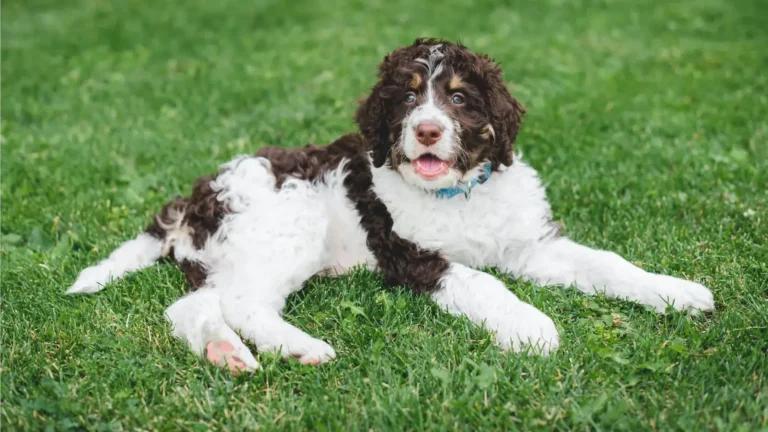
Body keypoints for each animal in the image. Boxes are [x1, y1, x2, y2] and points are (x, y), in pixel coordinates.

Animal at [66, 38, 712, 372]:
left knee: (192, 306)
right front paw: (533, 328)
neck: (457, 194)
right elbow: (485, 283)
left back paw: (226, 353)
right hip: (286, 223)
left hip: (232, 253)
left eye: (459, 98)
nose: (426, 130)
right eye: (406, 96)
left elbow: (607, 264)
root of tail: (196, 196)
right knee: (245, 303)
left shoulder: (531, 244)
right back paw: (301, 347)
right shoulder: (413, 255)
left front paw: (676, 292)